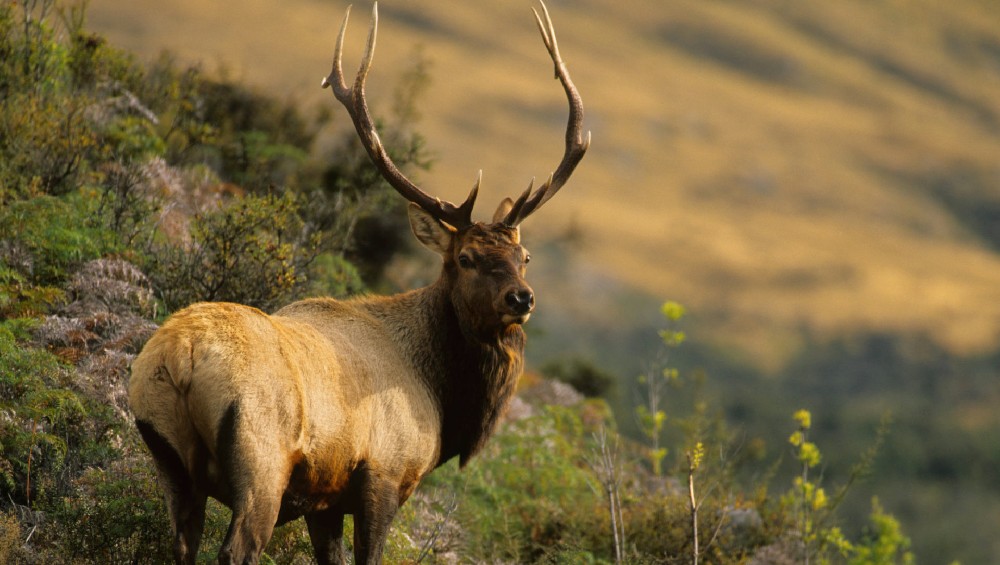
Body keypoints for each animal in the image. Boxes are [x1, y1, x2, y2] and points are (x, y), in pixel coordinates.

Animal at [129, 2, 588, 560]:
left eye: (524, 256)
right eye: (467, 258)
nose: (521, 297)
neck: (441, 395)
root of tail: (180, 355)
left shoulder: (323, 499)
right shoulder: (384, 474)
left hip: (168, 456)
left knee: (181, 542)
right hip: (261, 460)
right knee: (238, 547)